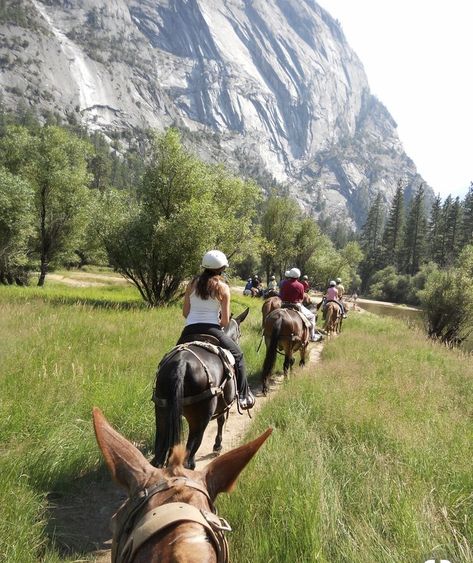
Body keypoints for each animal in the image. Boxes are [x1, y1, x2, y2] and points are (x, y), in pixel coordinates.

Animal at [151, 310, 249, 470]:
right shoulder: (224, 405)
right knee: (188, 458)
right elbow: (221, 421)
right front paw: (217, 446)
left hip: (162, 414)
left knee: (157, 459)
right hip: (199, 420)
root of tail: (181, 364)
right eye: (239, 334)